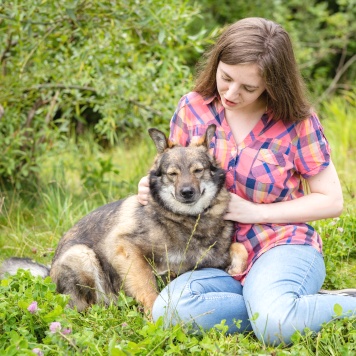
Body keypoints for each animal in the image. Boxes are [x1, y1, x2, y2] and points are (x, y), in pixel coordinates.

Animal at [1, 124, 248, 312]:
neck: (188, 220)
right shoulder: (124, 247)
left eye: (198, 170)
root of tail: (49, 271)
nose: (187, 192)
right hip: (82, 255)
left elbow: (240, 249)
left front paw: (237, 268)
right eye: (173, 174)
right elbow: (147, 288)